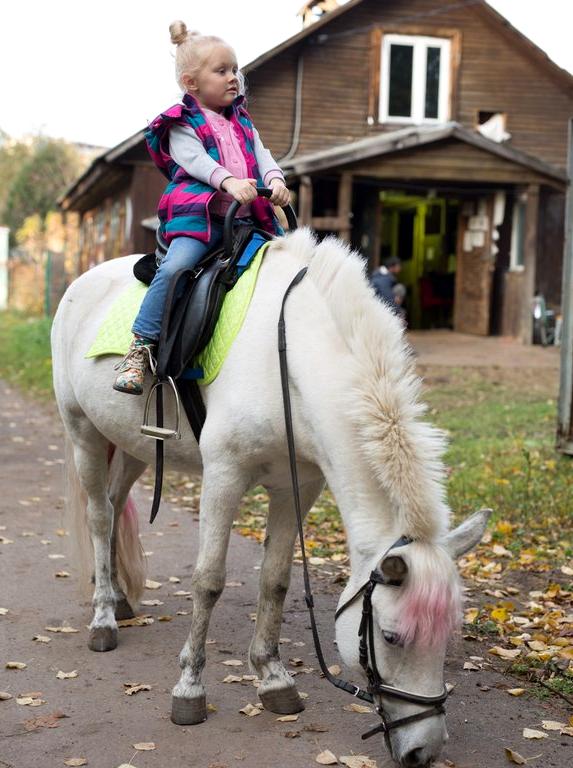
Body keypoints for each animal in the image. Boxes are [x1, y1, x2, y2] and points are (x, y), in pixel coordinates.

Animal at [51, 230, 488, 768]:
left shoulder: (297, 486)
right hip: (83, 433)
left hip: (133, 447)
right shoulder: (224, 474)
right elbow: (208, 581)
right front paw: (189, 689)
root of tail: (83, 281)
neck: (288, 357)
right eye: (390, 636)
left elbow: (276, 580)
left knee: (114, 509)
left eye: (446, 637)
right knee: (98, 515)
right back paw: (103, 619)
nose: (423, 751)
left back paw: (115, 594)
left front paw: (273, 678)